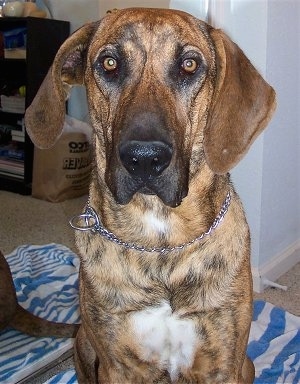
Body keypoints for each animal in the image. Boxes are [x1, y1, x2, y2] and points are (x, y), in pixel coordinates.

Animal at [24, 6, 276, 384]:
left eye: (189, 65)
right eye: (109, 63)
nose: (144, 159)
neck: (160, 245)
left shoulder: (222, 365)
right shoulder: (117, 367)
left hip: (246, 364)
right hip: (83, 340)